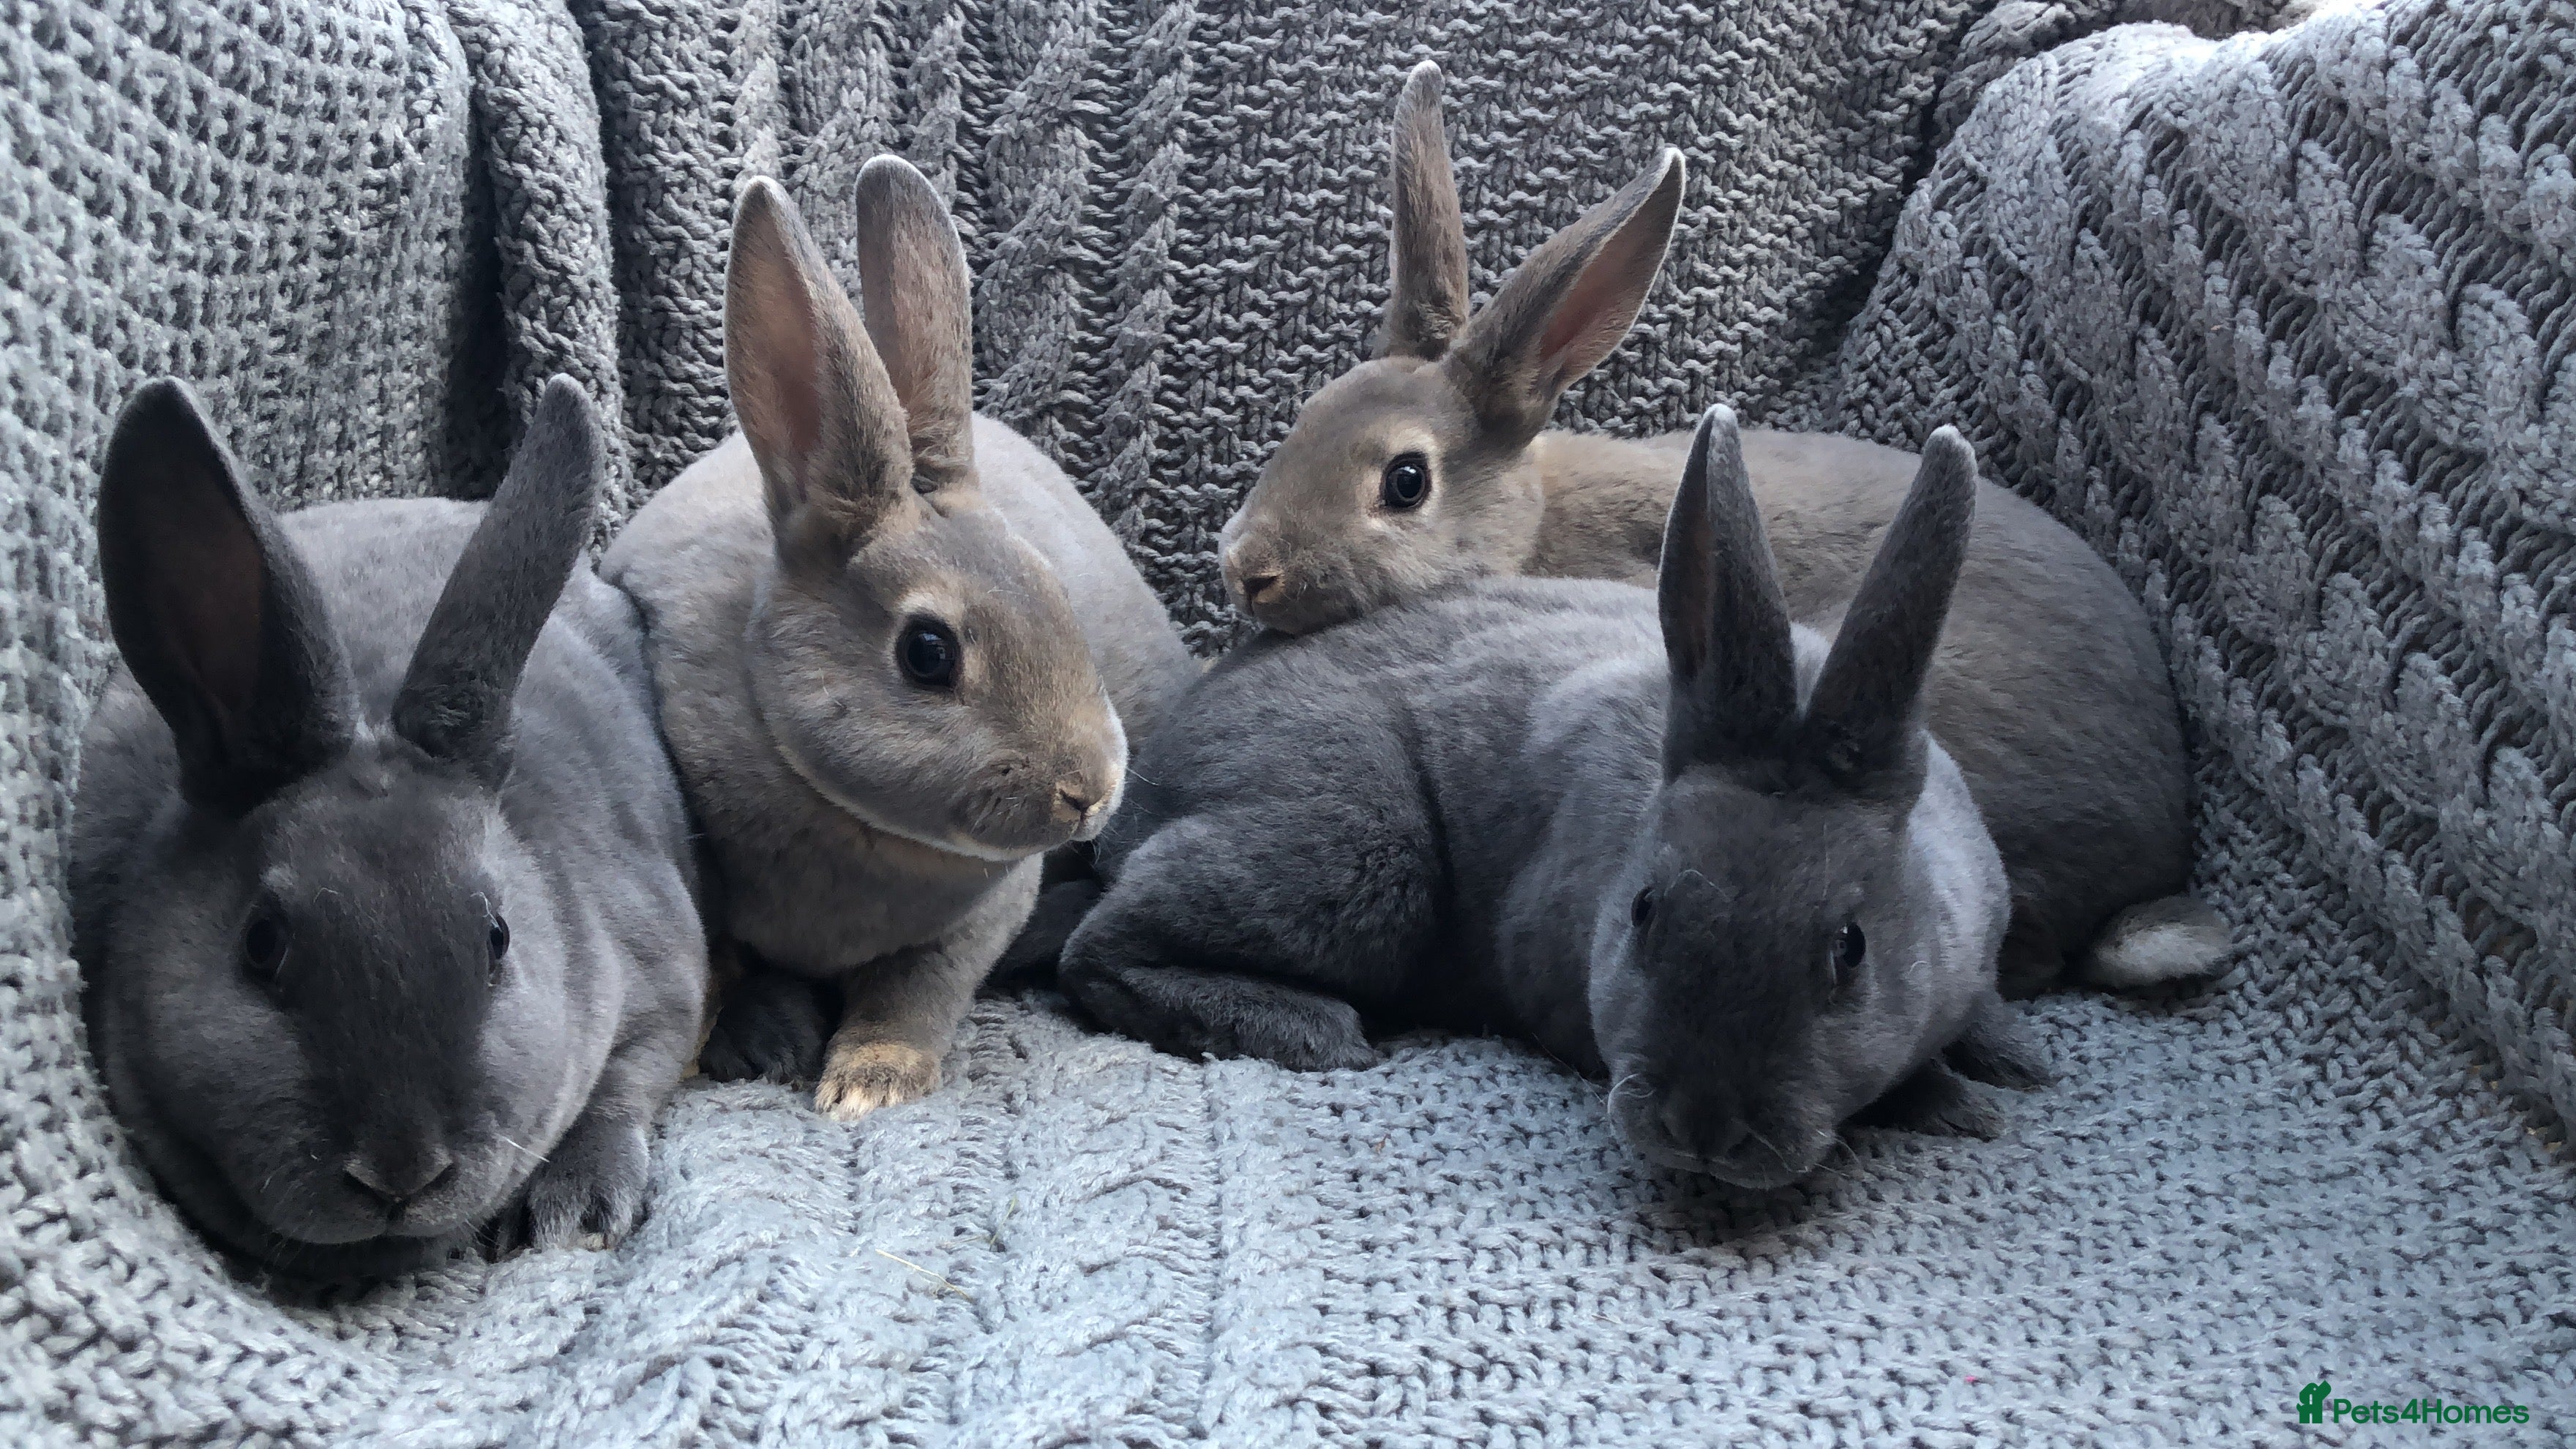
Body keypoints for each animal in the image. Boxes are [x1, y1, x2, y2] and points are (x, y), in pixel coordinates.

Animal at [70, 376, 709, 1279]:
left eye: (497, 938)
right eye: (260, 944)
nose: (399, 1174)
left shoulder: (662, 975)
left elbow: (626, 1087)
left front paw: (574, 1211)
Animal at [601, 160, 1196, 1121]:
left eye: (1055, 594)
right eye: (928, 652)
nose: (1089, 790)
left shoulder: (976, 921)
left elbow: (916, 994)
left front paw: (869, 1081)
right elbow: (730, 966)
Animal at [1059, 407, 2049, 1187]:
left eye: (1850, 947)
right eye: (1644, 912)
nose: (1701, 1131)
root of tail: (1147, 782)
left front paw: (2009, 1069)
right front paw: (1956, 1103)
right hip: (1356, 860)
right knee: (1099, 950)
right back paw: (1318, 1032)